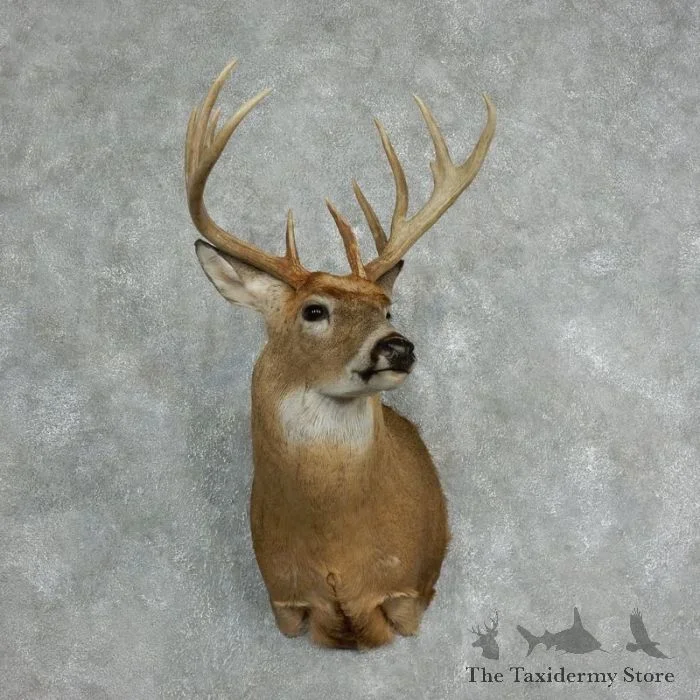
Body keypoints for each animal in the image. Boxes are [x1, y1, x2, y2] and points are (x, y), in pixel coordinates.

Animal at [185, 59, 495, 650]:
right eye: (314, 310)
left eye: (387, 307)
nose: (398, 346)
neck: (335, 554)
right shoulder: (282, 599)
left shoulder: (409, 588)